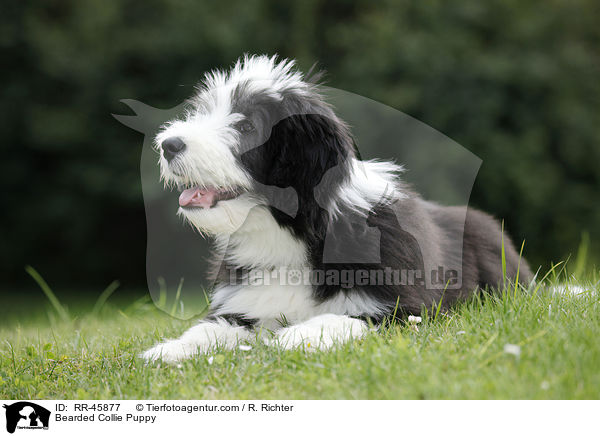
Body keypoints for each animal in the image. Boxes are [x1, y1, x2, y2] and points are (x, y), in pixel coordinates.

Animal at [143, 54, 532, 362]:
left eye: (247, 126)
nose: (168, 145)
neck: (292, 233)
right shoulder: (242, 304)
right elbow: (211, 328)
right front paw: (169, 350)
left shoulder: (405, 310)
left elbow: (348, 319)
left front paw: (296, 336)